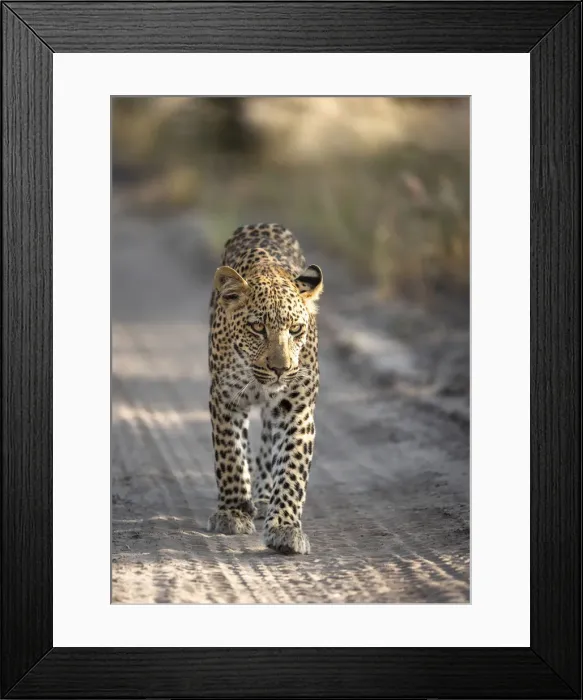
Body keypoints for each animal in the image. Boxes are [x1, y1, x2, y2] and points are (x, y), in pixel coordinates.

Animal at [207, 223, 323, 555]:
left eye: (296, 329)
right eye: (258, 328)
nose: (280, 368)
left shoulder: (297, 409)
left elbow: (292, 469)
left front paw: (285, 527)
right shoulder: (225, 398)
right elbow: (230, 456)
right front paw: (233, 512)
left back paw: (261, 495)